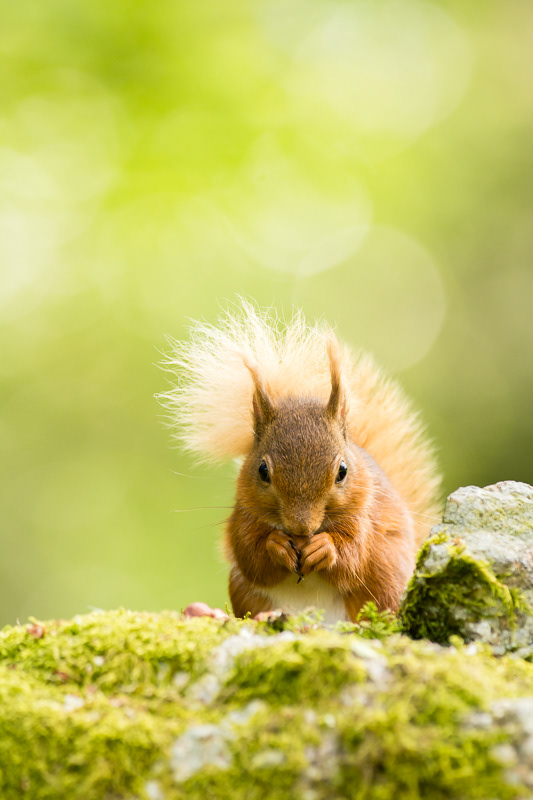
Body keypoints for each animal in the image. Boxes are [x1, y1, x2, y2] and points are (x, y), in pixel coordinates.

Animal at [161, 300, 441, 623]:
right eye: (262, 471)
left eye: (342, 471)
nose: (301, 528)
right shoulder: (243, 516)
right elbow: (251, 556)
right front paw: (276, 545)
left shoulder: (364, 518)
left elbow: (354, 557)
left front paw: (324, 548)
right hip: (244, 589)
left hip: (386, 578)